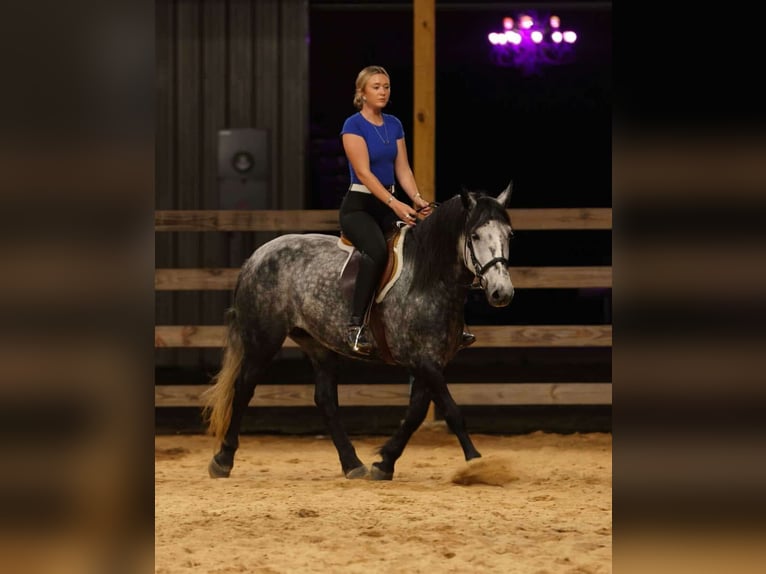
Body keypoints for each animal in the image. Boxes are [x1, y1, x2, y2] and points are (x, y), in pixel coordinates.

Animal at [202, 183, 515, 480]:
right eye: (475, 236)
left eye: (509, 235)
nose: (502, 293)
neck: (430, 279)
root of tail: (256, 257)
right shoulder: (422, 361)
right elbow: (452, 410)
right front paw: (477, 463)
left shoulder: (430, 361)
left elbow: (415, 413)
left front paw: (384, 462)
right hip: (264, 340)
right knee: (244, 387)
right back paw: (223, 460)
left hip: (318, 344)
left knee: (325, 400)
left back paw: (353, 464)